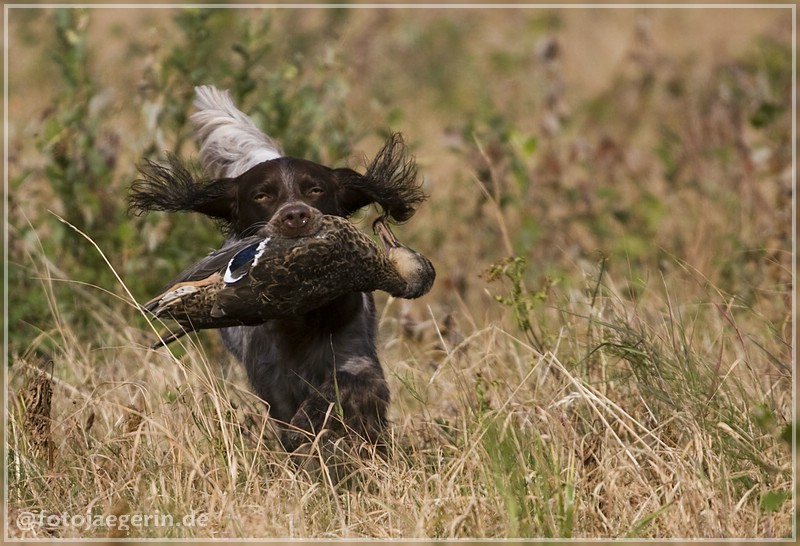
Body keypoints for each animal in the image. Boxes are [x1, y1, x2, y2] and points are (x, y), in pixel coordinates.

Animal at [132, 86, 432, 450]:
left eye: (315, 189)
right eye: (262, 196)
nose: (295, 216)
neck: (300, 323)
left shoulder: (356, 358)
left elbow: (346, 391)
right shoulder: (272, 381)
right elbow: (292, 416)